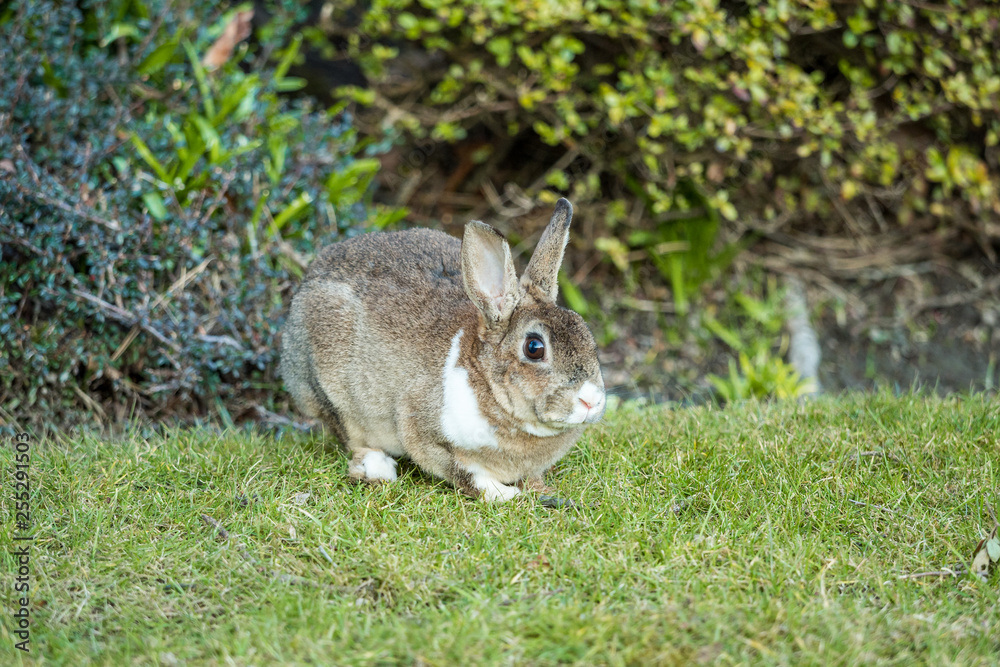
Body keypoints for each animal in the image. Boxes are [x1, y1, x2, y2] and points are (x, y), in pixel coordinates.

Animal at [280, 199, 606, 501]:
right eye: (534, 348)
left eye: (586, 333)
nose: (591, 401)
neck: (486, 383)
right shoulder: (422, 432)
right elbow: (464, 473)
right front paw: (506, 495)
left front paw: (539, 488)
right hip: (331, 391)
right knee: (350, 436)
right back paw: (379, 469)